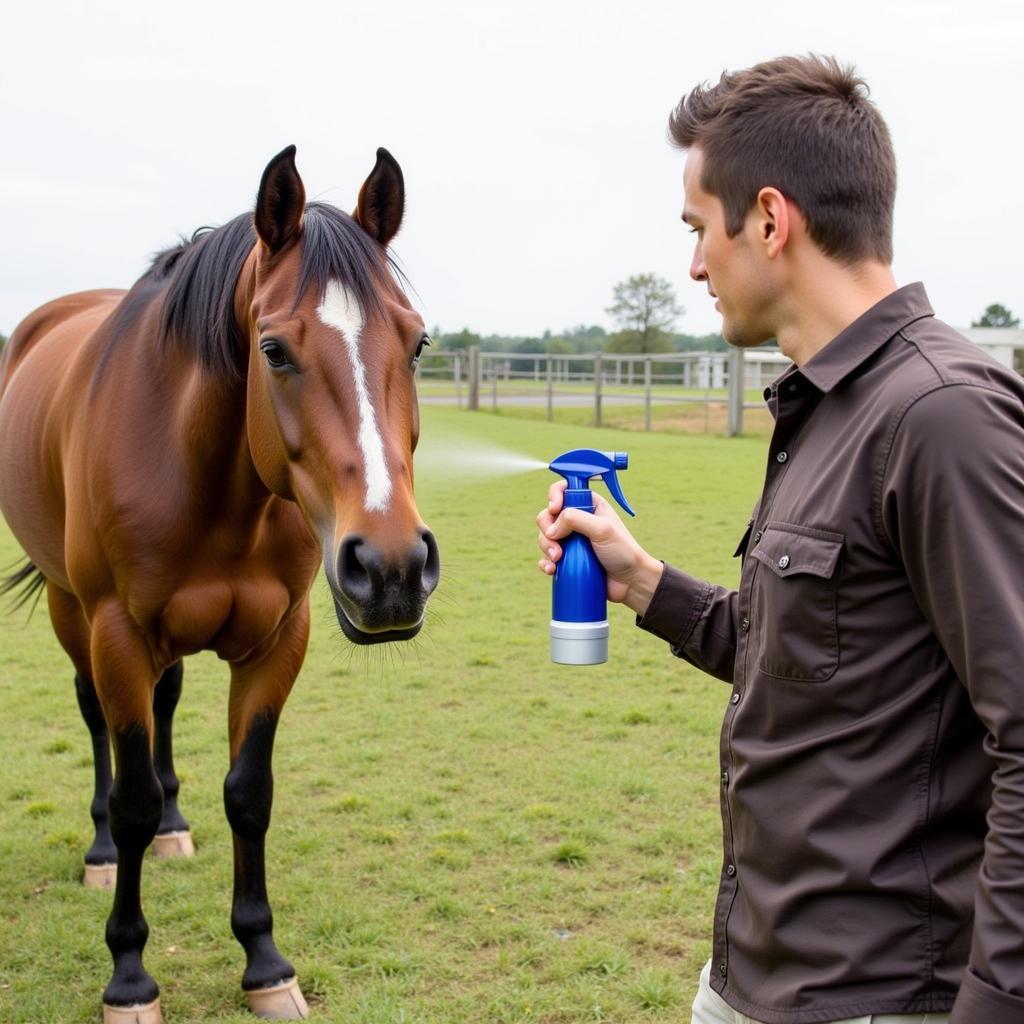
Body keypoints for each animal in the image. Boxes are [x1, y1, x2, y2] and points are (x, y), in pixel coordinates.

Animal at [0, 146, 436, 1024]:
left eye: (416, 343)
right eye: (272, 349)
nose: (392, 570)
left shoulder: (279, 638)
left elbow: (249, 791)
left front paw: (264, 962)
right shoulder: (116, 634)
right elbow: (130, 792)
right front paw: (129, 975)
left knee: (164, 709)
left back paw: (175, 825)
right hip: (73, 613)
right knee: (97, 726)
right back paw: (103, 850)